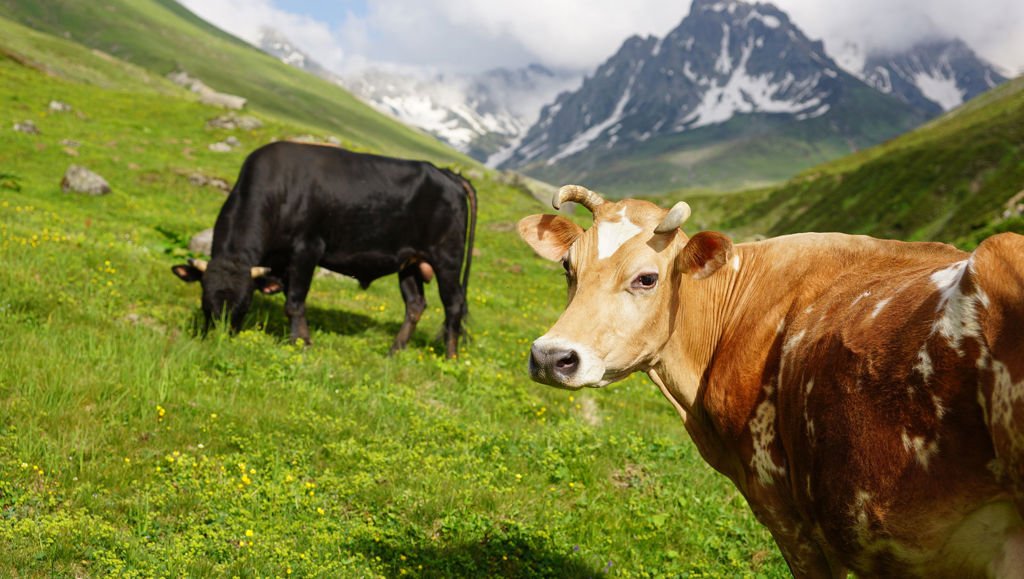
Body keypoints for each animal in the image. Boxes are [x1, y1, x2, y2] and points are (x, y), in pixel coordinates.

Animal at [172, 140, 475, 356]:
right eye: (205, 300)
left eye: (245, 303)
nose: (218, 338)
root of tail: (447, 174)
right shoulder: (281, 260)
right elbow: (290, 297)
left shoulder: (307, 249)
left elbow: (294, 302)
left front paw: (300, 342)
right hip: (410, 262)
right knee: (415, 304)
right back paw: (393, 352)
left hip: (447, 259)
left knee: (453, 305)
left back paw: (451, 358)